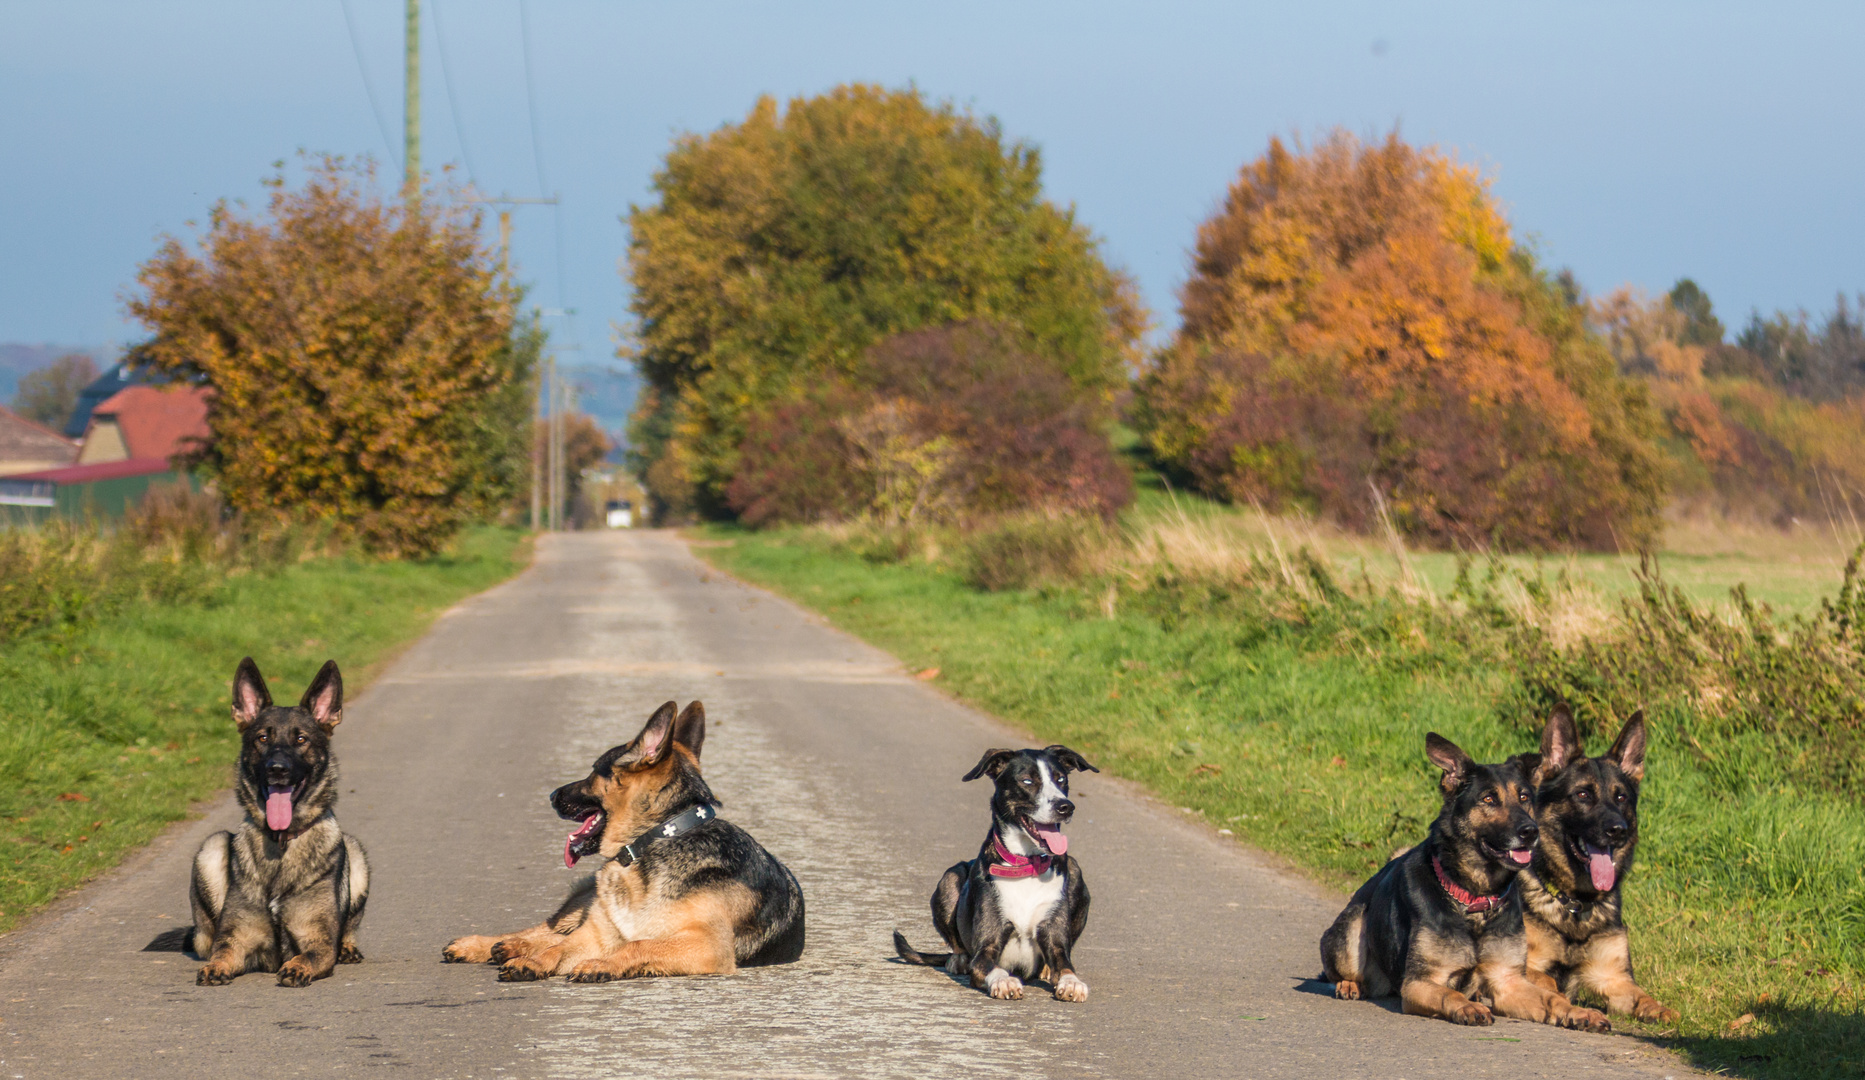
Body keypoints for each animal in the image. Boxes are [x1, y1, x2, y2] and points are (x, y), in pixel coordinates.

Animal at [189, 660, 367, 992]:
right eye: (262, 738)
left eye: (301, 739)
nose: (278, 770)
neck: (282, 842)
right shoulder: (236, 939)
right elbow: (222, 952)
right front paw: (215, 967)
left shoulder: (319, 942)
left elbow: (307, 955)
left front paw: (297, 967)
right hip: (212, 846)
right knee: (204, 938)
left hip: (355, 851)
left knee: (349, 927)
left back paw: (349, 948)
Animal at [449, 701, 809, 977]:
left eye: (595, 771)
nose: (551, 796)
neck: (654, 840)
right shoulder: (596, 933)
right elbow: (559, 947)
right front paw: (533, 961)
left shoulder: (707, 945)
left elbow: (639, 943)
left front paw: (601, 965)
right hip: (583, 902)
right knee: (546, 929)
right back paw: (493, 945)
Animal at [895, 749, 1096, 999]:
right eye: (1027, 781)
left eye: (1061, 779)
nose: (1065, 806)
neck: (1026, 864)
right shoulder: (986, 948)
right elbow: (993, 966)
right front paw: (1005, 981)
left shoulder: (1056, 941)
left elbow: (1066, 964)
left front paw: (1071, 982)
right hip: (949, 878)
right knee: (957, 944)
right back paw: (958, 959)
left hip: (1076, 871)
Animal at [1320, 727, 1611, 1029]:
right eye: (1488, 799)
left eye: (1524, 798)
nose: (1530, 832)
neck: (1475, 898)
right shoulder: (1420, 983)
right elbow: (1449, 993)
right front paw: (1468, 1006)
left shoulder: (1507, 981)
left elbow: (1552, 998)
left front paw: (1578, 1012)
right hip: (1352, 927)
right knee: (1341, 969)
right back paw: (1349, 984)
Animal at [1514, 708, 1678, 1022]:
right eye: (1582, 795)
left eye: (1621, 797)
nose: (1618, 830)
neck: (1574, 902)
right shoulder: (1523, 963)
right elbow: (1547, 980)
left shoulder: (1614, 978)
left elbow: (1645, 998)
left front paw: (1663, 1011)